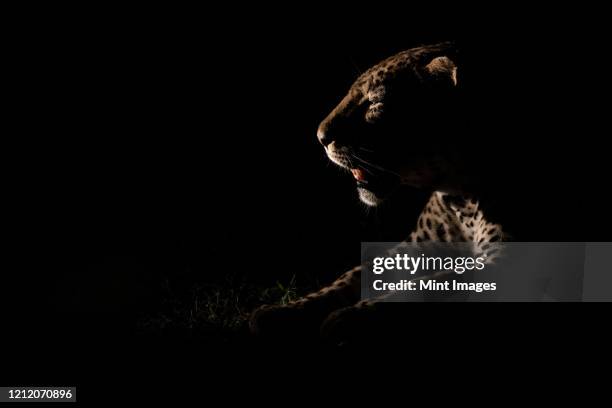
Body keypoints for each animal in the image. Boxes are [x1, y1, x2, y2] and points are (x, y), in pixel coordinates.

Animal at [249, 40, 520, 342]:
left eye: (375, 103)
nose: (320, 138)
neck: (461, 199)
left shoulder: (503, 261)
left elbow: (426, 287)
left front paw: (347, 318)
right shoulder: (415, 247)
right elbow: (352, 275)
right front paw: (283, 311)